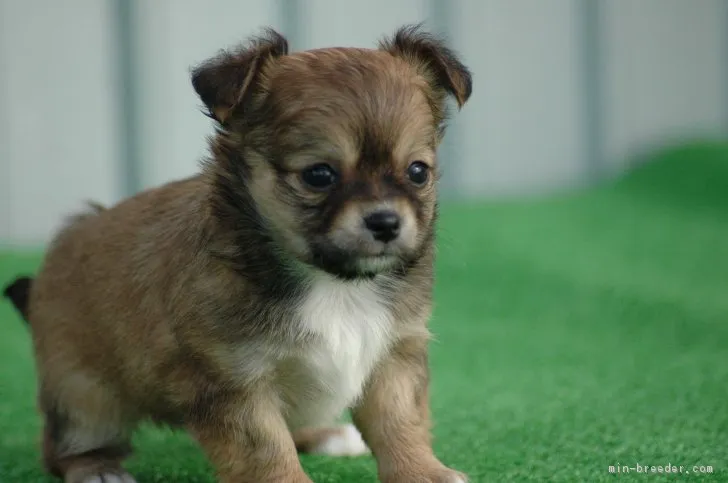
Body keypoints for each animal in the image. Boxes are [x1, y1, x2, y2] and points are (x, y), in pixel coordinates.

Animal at [4, 23, 472, 483]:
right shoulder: (233, 382)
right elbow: (267, 450)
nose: (386, 222)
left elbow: (399, 424)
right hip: (83, 394)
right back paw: (97, 469)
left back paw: (328, 436)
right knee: (65, 444)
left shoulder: (393, 355)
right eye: (319, 175)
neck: (332, 284)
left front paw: (423, 472)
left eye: (417, 172)